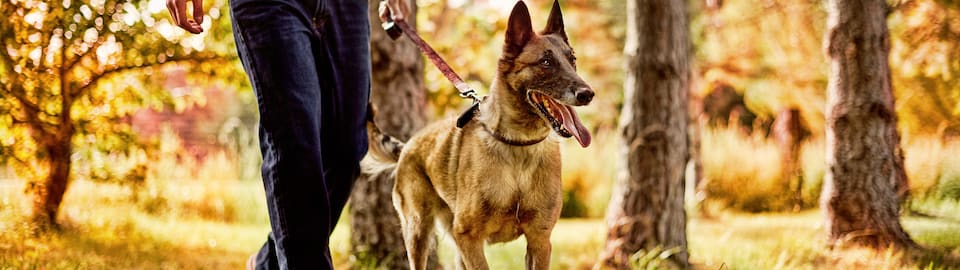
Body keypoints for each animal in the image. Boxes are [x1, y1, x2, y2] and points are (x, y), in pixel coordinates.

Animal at [364, 1, 592, 268]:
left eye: (572, 59)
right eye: (545, 62)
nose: (588, 94)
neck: (519, 146)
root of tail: (408, 146)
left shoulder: (539, 241)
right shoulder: (470, 238)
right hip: (418, 232)